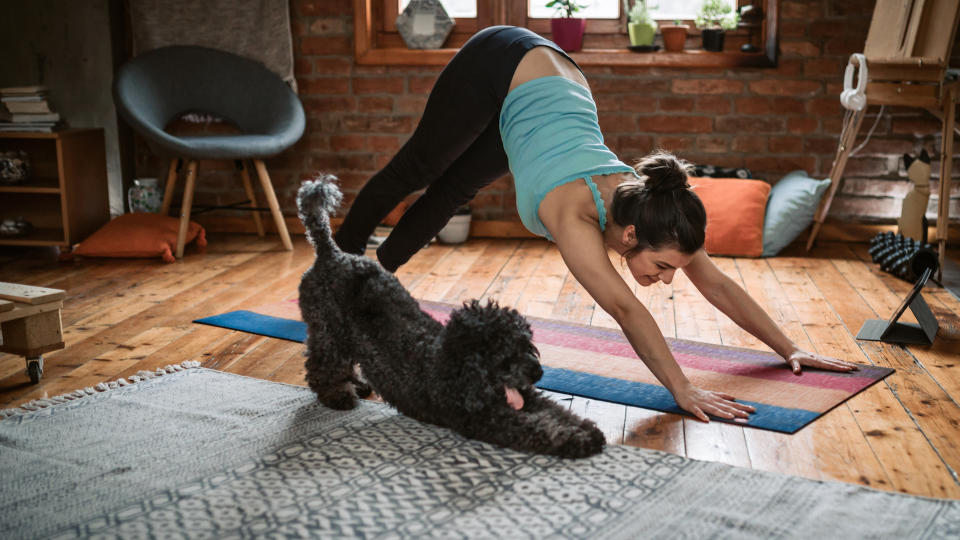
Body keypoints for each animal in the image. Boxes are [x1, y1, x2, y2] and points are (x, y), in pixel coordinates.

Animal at [296, 177, 604, 460]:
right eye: (505, 353)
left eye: (528, 345)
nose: (538, 372)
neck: (456, 366)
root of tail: (330, 253)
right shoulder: (488, 419)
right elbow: (537, 429)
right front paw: (576, 440)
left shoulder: (526, 396)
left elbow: (556, 410)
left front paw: (586, 428)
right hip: (328, 331)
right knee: (321, 367)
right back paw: (338, 395)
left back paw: (357, 384)